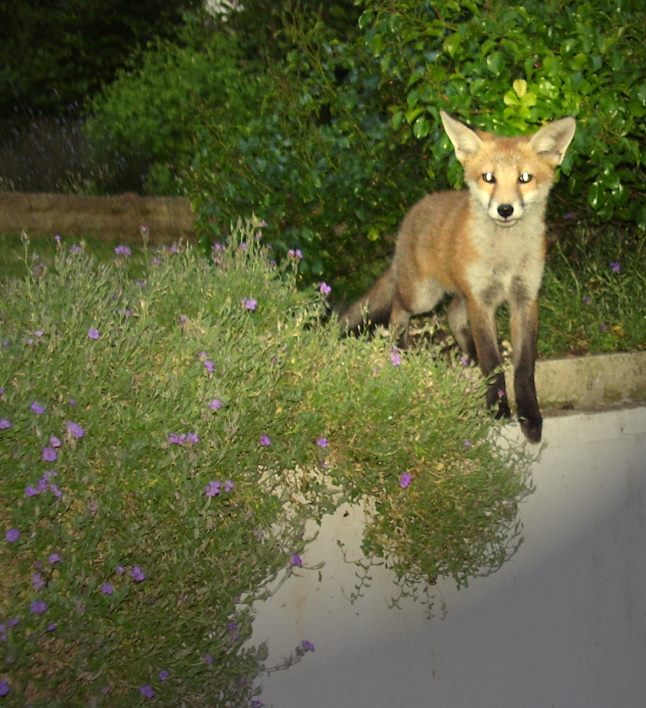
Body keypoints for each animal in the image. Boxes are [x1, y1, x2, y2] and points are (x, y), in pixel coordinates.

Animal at [341, 110, 576, 443]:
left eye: (525, 178)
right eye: (488, 178)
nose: (505, 209)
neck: (505, 258)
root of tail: (415, 209)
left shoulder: (524, 299)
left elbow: (524, 368)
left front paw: (530, 417)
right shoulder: (481, 301)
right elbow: (492, 362)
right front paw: (497, 410)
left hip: (463, 295)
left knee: (452, 316)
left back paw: (466, 352)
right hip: (424, 296)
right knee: (399, 307)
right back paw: (399, 349)